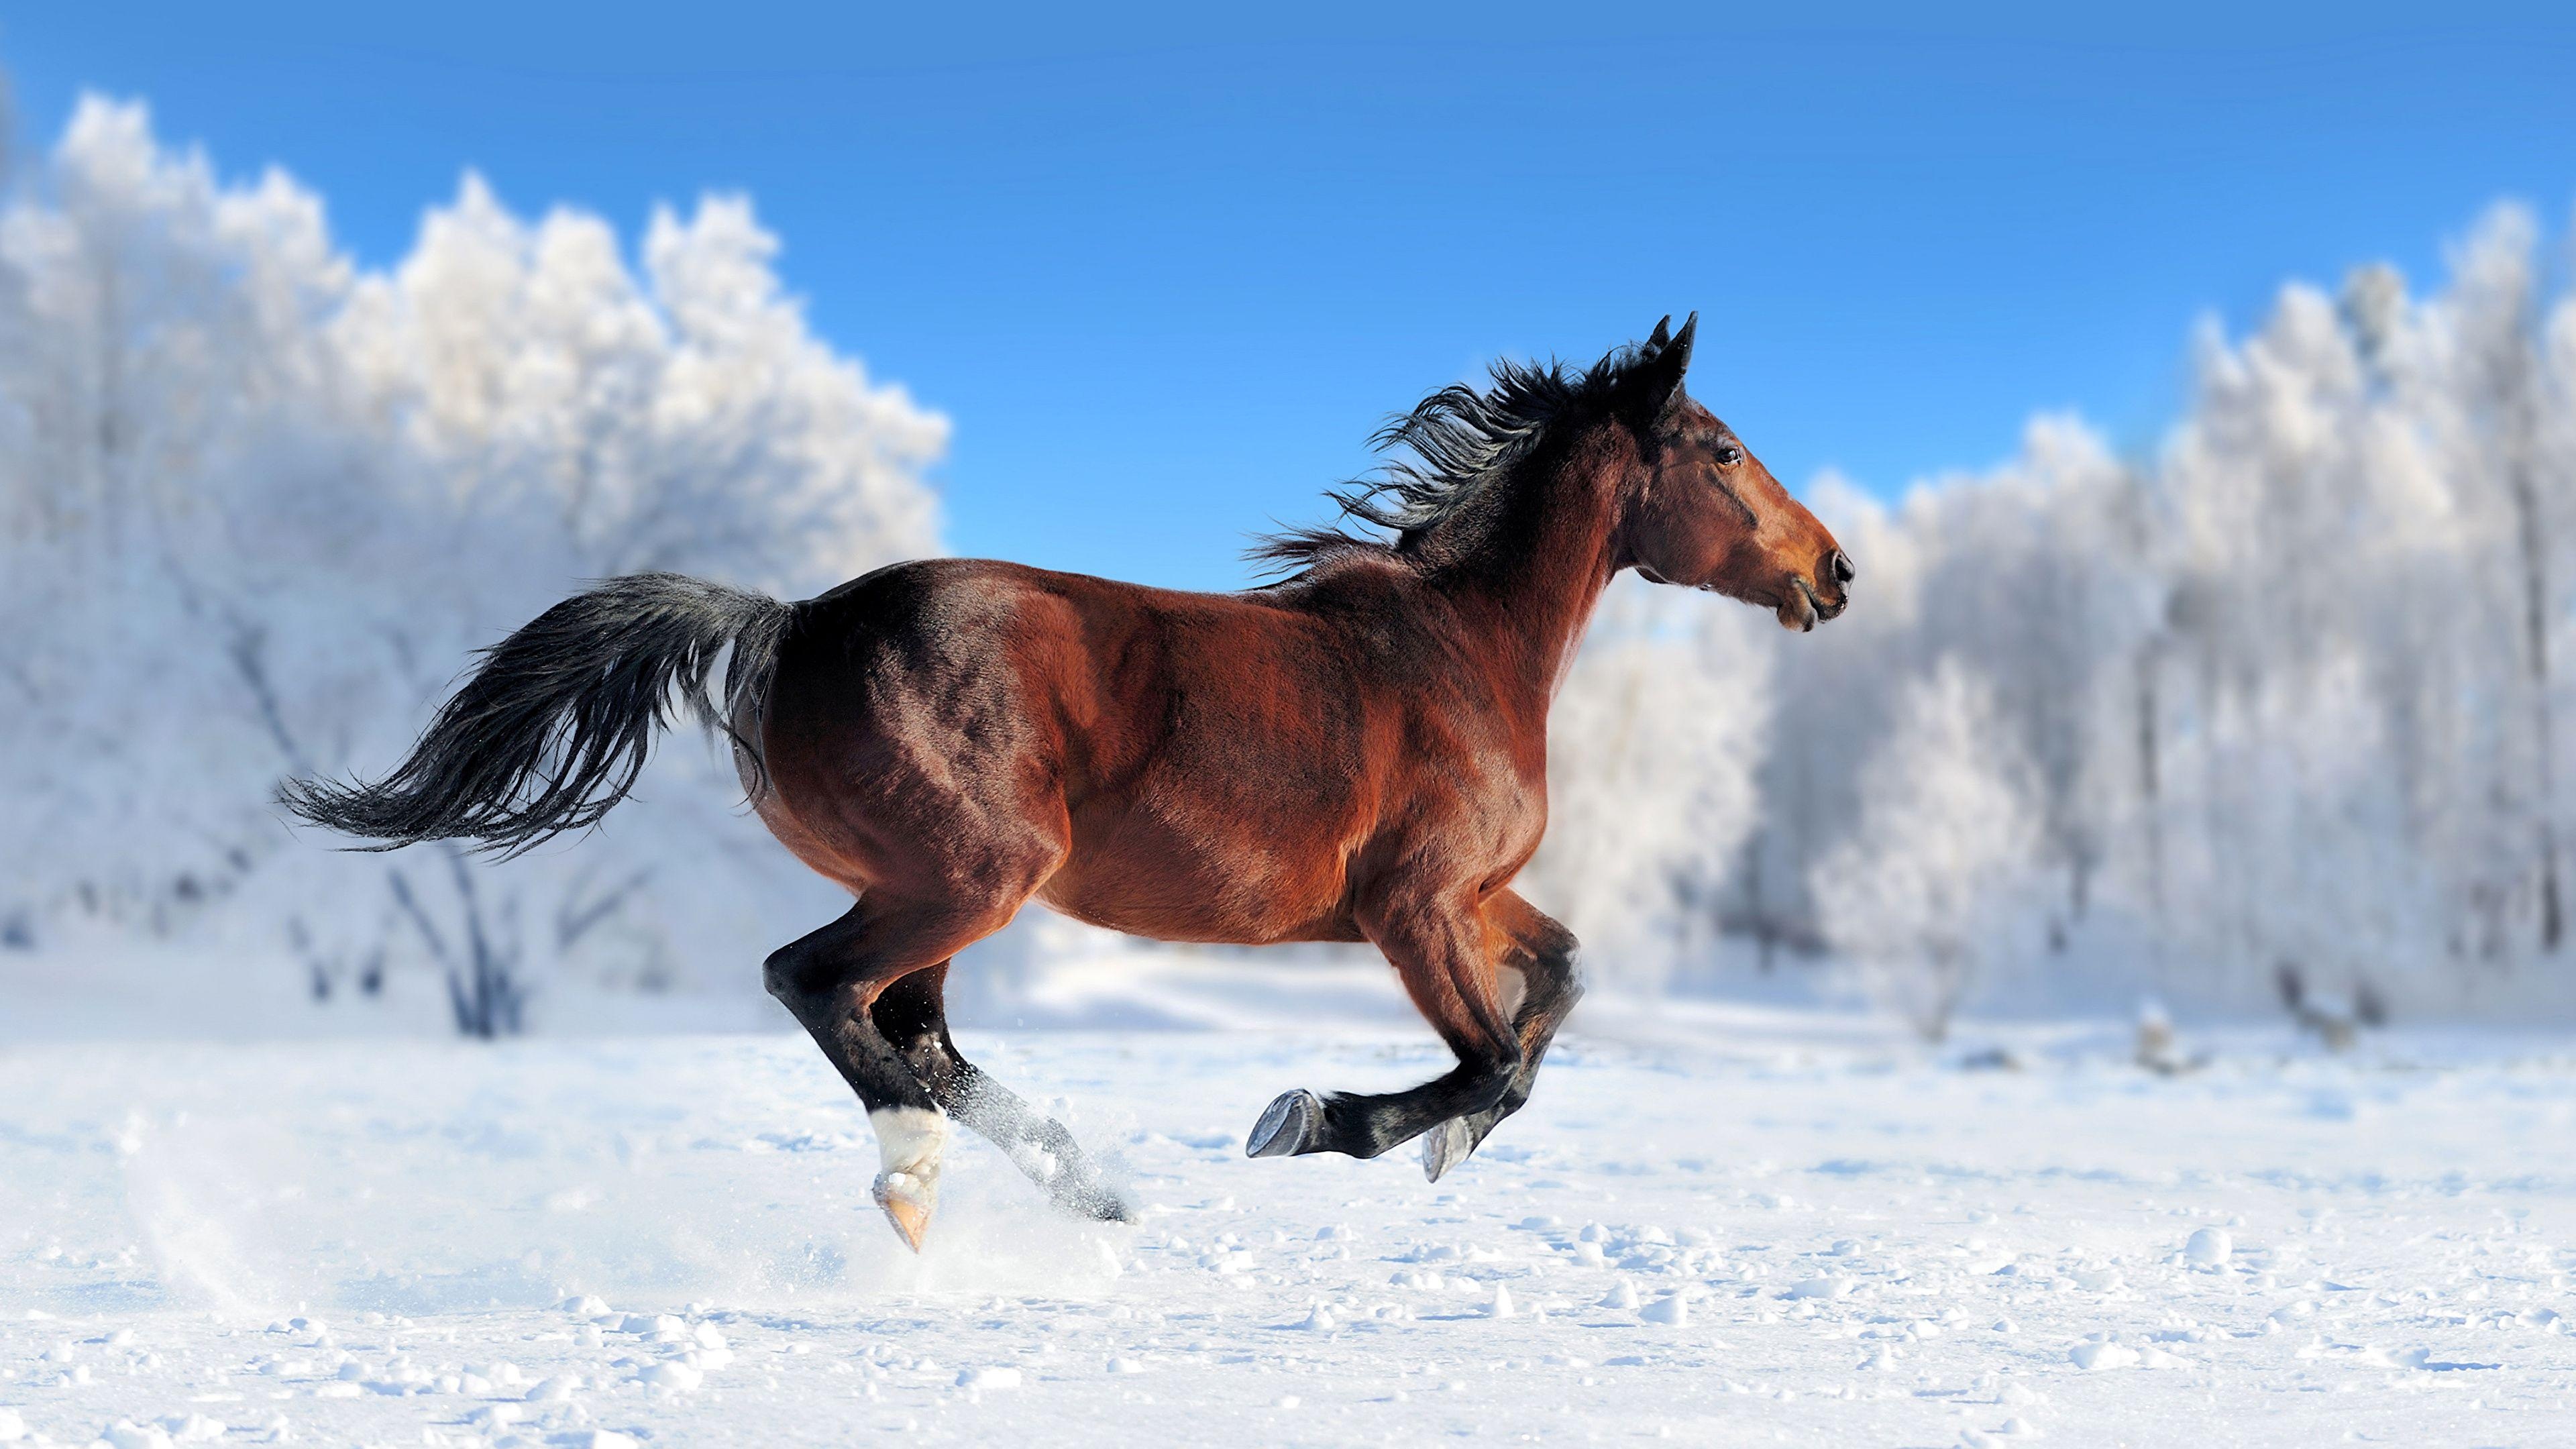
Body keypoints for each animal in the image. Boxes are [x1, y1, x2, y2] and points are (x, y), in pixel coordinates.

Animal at [287, 315, 1854, 1242]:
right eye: (1722, 451)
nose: (1835, 570)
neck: (1459, 648)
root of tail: (790, 622)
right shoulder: (1413, 906)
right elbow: (1494, 1061)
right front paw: (1317, 1122)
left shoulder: (1472, 897)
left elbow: (1560, 989)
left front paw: (1435, 1148)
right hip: (969, 876)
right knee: (825, 989)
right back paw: (925, 1178)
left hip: (934, 888)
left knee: (911, 1028)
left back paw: (1085, 1186)